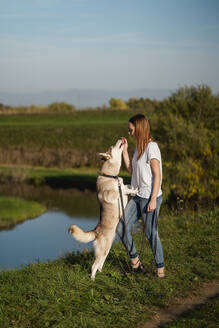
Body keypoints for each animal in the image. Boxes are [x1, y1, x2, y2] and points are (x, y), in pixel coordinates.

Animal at [68, 138, 137, 280]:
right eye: (112, 146)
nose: (121, 139)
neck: (110, 175)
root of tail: (96, 231)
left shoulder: (121, 185)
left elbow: (126, 186)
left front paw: (132, 188)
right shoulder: (113, 194)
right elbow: (123, 189)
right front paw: (134, 190)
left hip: (107, 249)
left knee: (100, 263)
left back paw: (101, 273)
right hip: (103, 249)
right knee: (94, 265)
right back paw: (93, 279)